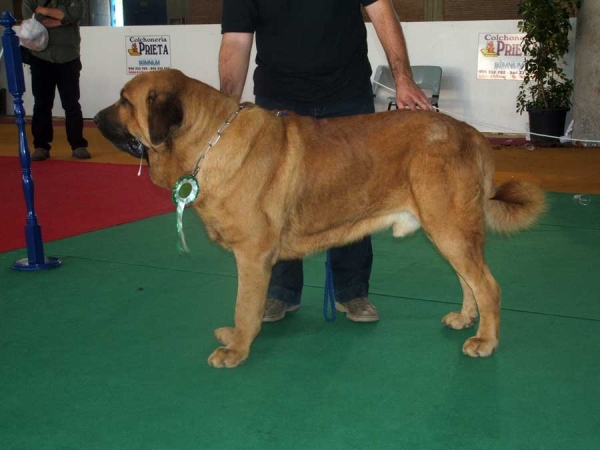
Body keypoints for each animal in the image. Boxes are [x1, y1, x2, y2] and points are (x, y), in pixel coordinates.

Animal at [96, 68, 548, 368]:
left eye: (124, 100)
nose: (97, 119)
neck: (209, 139)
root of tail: (472, 134)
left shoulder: (253, 254)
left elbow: (245, 306)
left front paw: (237, 349)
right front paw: (238, 337)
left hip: (448, 225)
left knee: (487, 286)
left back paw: (485, 340)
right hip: (447, 229)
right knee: (468, 279)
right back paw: (465, 319)